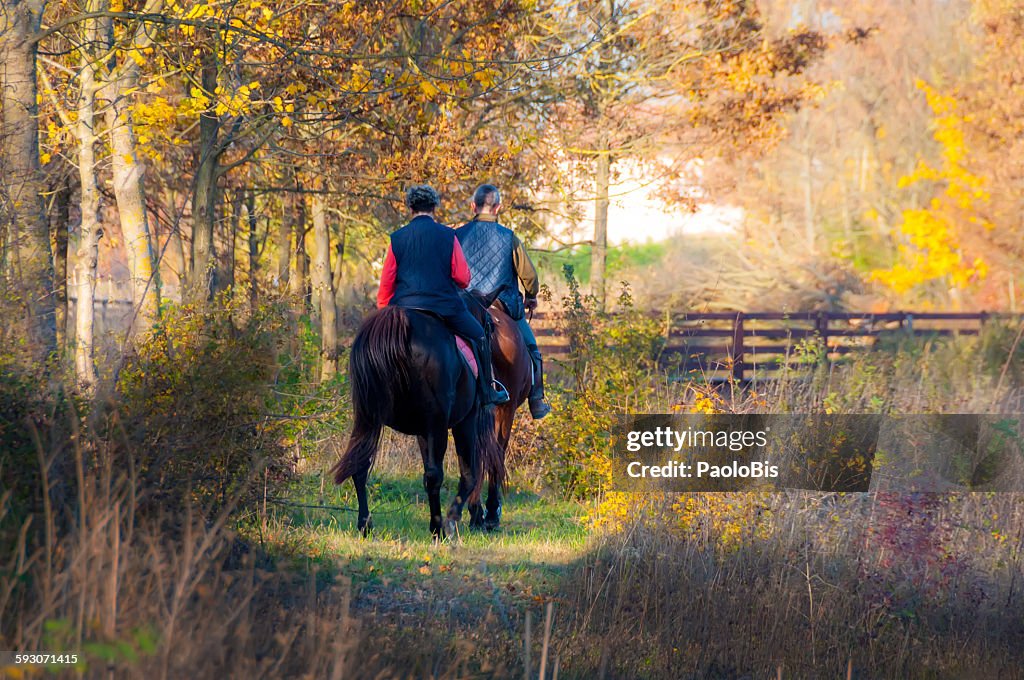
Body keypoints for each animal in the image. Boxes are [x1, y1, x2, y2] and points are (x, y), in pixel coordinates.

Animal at [333, 294, 505, 540]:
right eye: (490, 327)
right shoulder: (465, 421)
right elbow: (469, 473)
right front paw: (452, 520)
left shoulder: (424, 431)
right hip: (439, 424)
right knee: (435, 476)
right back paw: (438, 529)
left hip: (369, 418)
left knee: (360, 465)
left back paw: (365, 525)